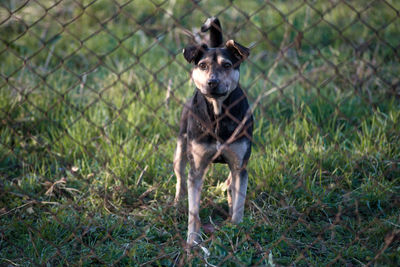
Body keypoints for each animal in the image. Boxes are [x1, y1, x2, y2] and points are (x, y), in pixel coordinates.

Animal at [173, 16, 253, 247]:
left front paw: (236, 228)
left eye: (227, 65)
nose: (212, 82)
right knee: (180, 176)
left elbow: (239, 203)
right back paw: (176, 203)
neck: (218, 113)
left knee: (230, 184)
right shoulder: (197, 167)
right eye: (202, 65)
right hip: (181, 147)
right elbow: (194, 210)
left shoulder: (240, 165)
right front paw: (192, 239)